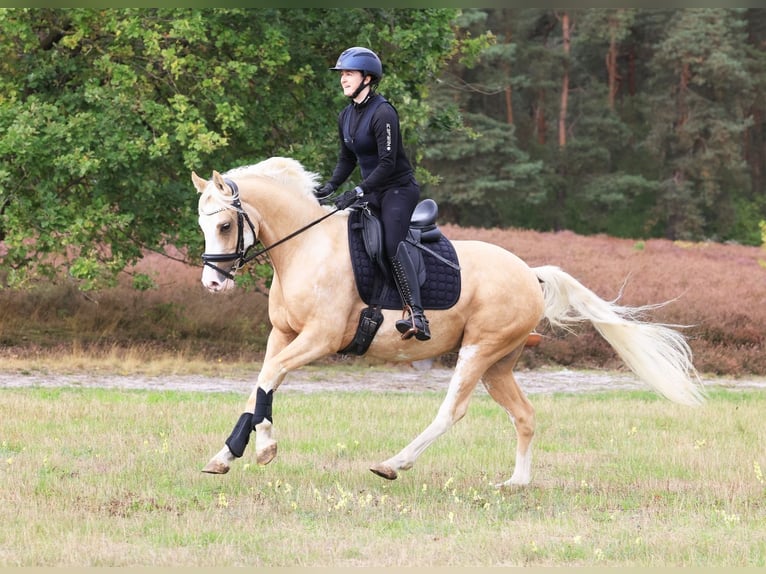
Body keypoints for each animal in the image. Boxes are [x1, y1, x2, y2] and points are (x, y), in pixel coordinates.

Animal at [191, 156, 705, 487]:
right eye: (202, 225)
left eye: (224, 225)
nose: (213, 283)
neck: (305, 247)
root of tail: (530, 273)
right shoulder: (284, 334)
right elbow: (260, 386)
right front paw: (232, 454)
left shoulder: (320, 338)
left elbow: (270, 378)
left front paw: (257, 449)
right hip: (498, 363)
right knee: (524, 415)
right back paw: (516, 483)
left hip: (478, 351)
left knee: (451, 412)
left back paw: (394, 463)